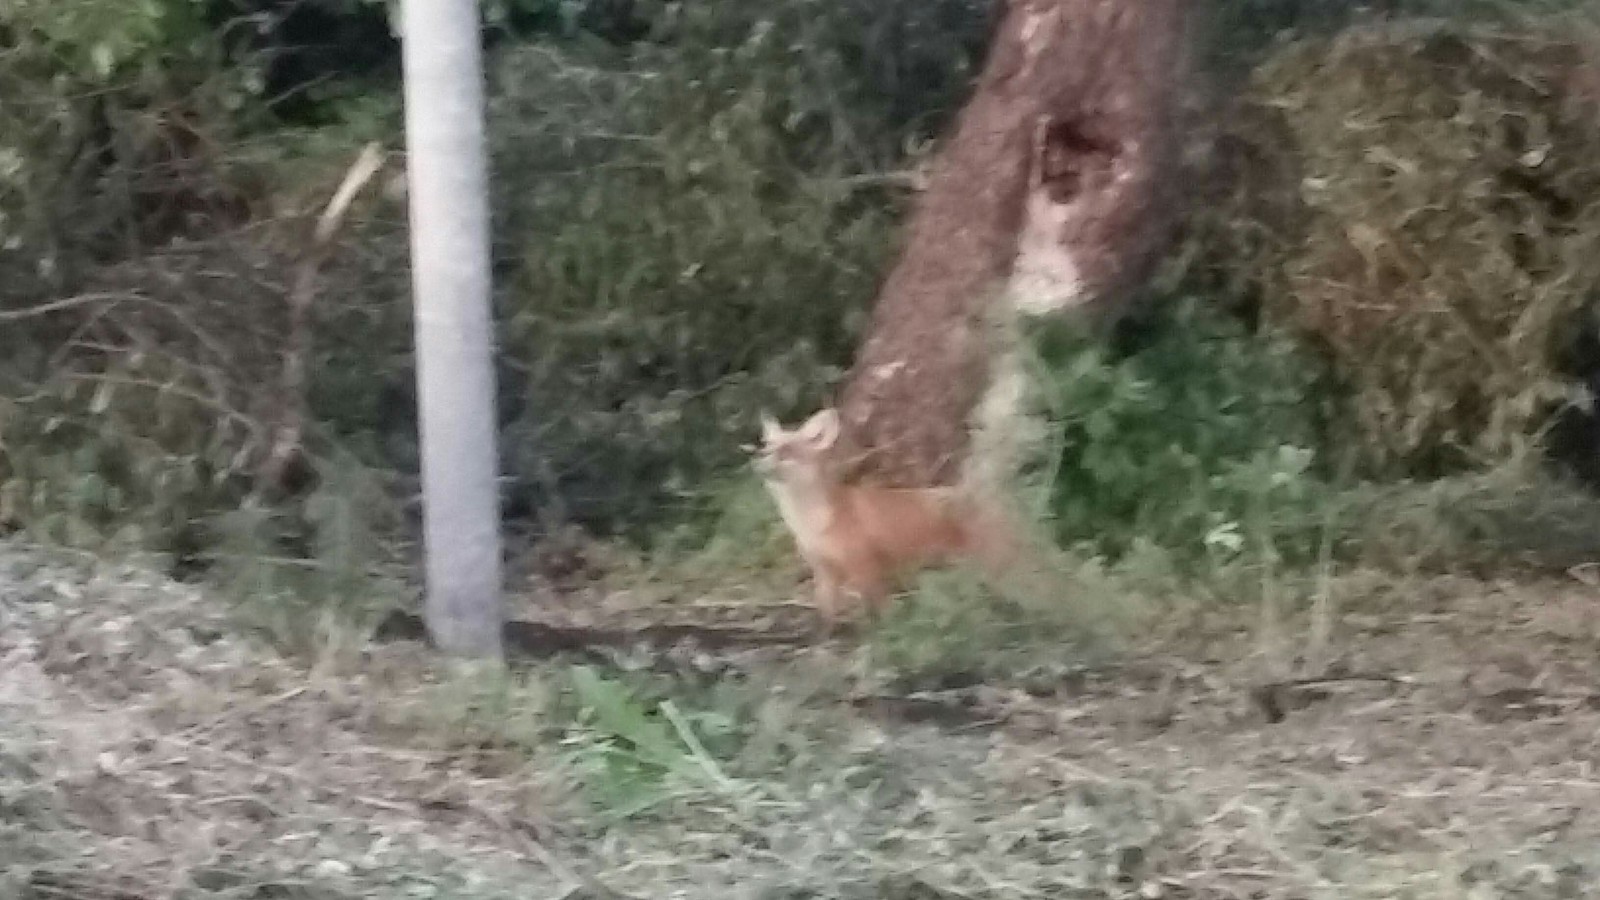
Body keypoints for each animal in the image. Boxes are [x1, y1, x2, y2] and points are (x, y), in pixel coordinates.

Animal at [752, 406, 1024, 624]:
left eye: (786, 451)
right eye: (765, 450)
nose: (758, 466)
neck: (812, 525)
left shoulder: (866, 568)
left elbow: (880, 617)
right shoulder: (825, 572)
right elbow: (826, 620)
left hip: (996, 565)